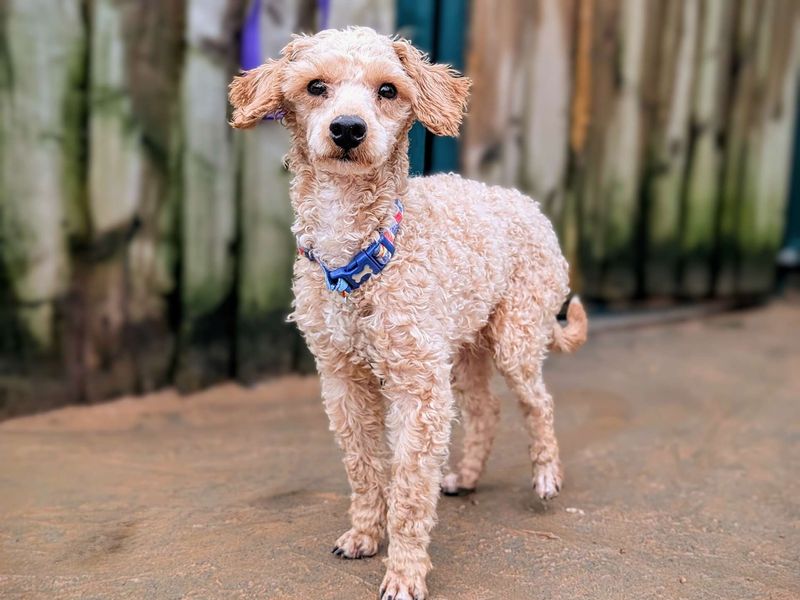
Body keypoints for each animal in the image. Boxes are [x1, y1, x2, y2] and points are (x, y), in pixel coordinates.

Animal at [228, 27, 584, 600]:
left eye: (388, 90)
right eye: (315, 86)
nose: (348, 129)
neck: (360, 254)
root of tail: (525, 203)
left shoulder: (418, 389)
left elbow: (411, 488)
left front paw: (405, 571)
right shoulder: (342, 382)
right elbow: (364, 468)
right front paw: (364, 534)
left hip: (516, 339)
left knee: (539, 404)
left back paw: (547, 476)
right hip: (464, 351)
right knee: (487, 410)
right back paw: (466, 476)